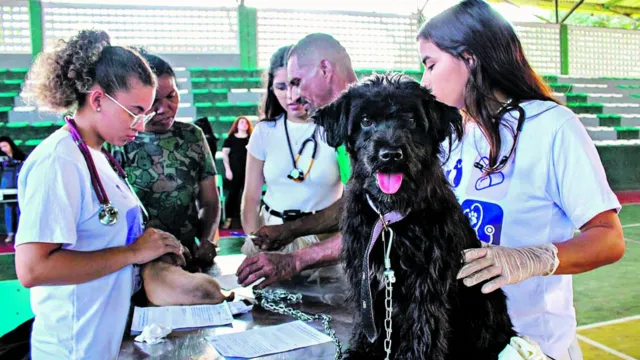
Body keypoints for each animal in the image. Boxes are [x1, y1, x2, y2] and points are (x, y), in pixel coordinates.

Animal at [312, 74, 516, 360]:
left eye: (410, 120)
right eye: (366, 121)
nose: (390, 155)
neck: (388, 218)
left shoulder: (426, 282)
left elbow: (423, 329)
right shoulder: (366, 280)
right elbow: (368, 326)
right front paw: (360, 352)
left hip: (484, 302)